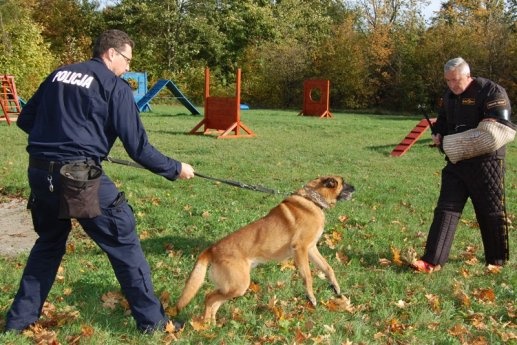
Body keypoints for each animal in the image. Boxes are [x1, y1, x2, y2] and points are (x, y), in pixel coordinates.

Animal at [173, 176, 354, 322]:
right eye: (343, 182)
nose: (355, 187)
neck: (312, 200)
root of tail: (212, 249)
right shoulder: (300, 249)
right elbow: (308, 276)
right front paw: (311, 298)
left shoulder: (311, 249)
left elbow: (328, 268)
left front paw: (335, 288)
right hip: (239, 285)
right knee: (209, 297)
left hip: (233, 287)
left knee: (213, 302)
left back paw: (210, 325)